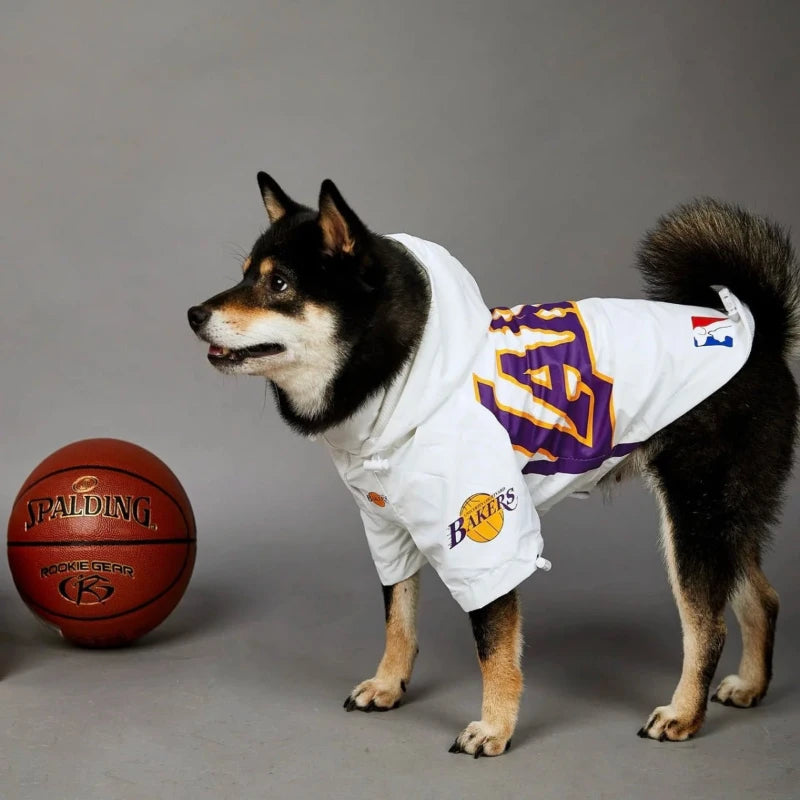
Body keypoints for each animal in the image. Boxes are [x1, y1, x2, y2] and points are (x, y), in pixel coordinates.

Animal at [186, 173, 792, 756]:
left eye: (280, 285)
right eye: (244, 274)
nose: (193, 314)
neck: (401, 370)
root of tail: (752, 332)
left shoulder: (484, 533)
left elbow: (493, 645)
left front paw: (495, 728)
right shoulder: (386, 525)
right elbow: (398, 616)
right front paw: (388, 684)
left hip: (695, 515)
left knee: (707, 626)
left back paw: (684, 715)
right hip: (723, 519)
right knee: (762, 598)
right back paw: (750, 686)